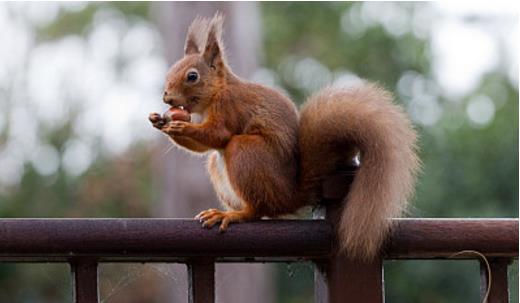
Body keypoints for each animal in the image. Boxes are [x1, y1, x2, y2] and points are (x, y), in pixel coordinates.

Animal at [149, 13, 418, 262]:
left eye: (192, 76)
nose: (166, 97)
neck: (218, 92)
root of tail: (290, 195)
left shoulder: (229, 107)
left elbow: (218, 135)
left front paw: (179, 127)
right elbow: (202, 147)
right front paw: (159, 121)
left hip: (246, 152)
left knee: (257, 209)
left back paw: (233, 215)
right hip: (222, 167)